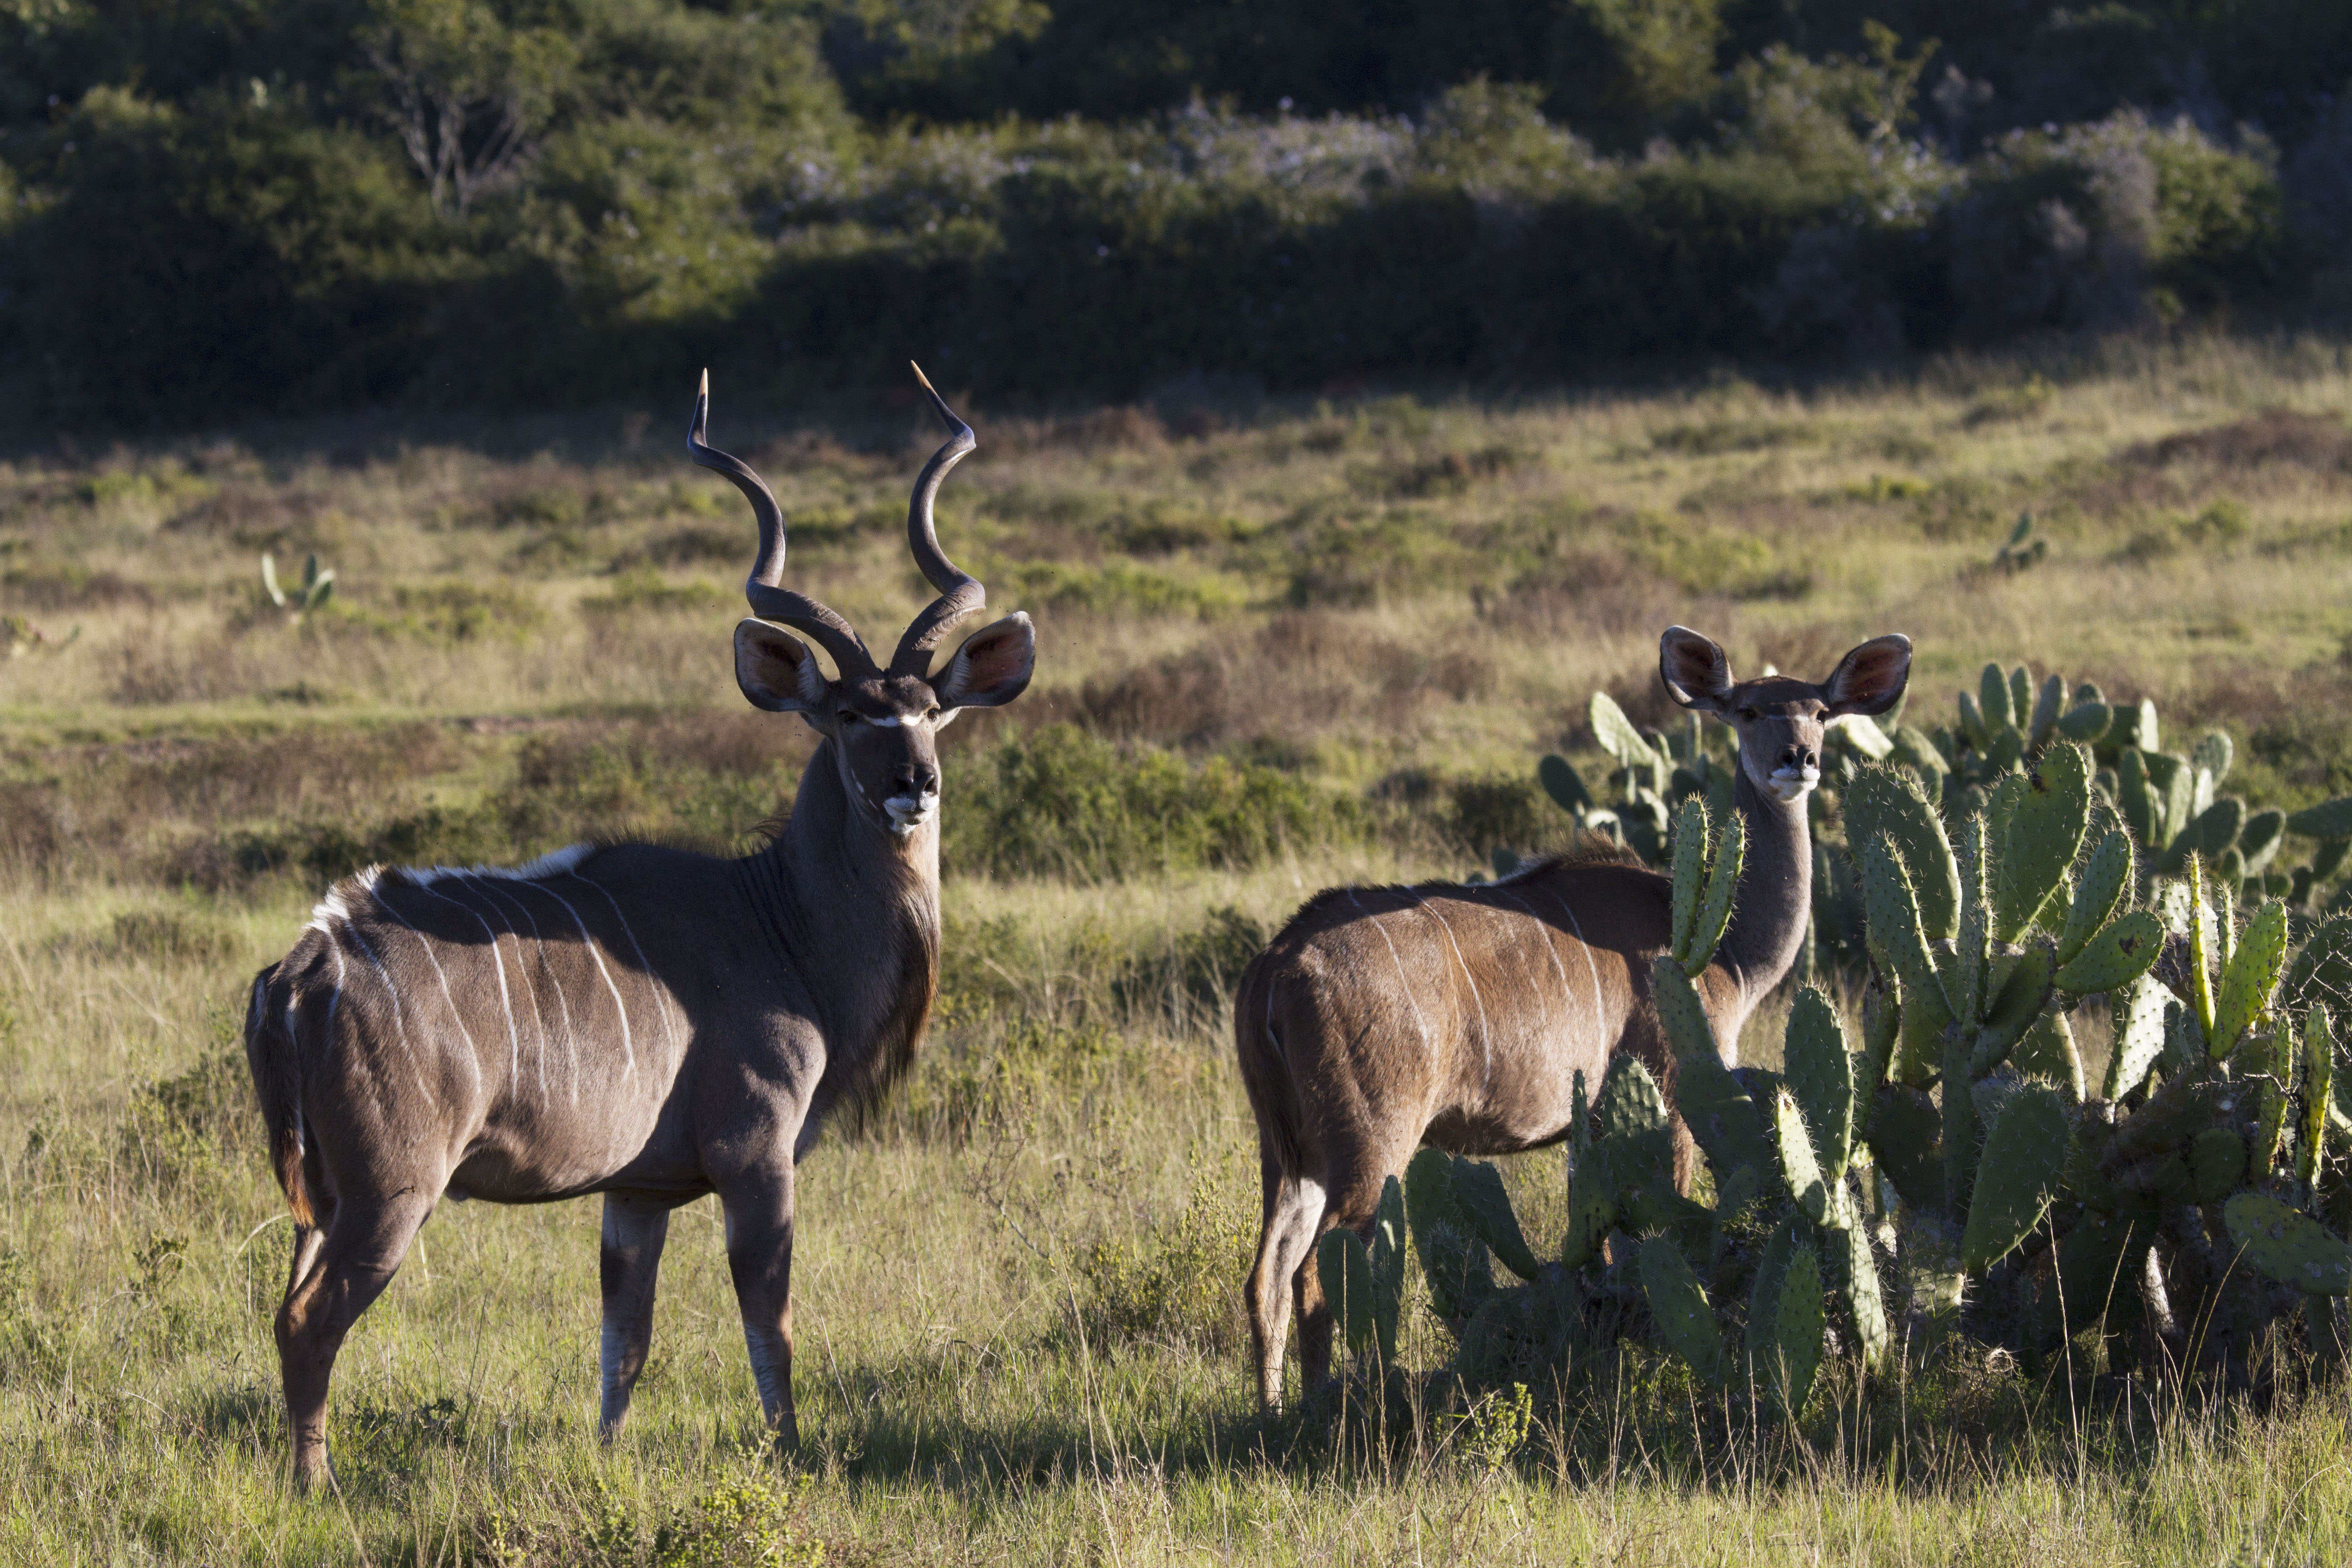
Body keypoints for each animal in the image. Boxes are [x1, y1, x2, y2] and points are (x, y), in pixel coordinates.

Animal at [241, 369, 1039, 1485]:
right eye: (847, 716)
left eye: (934, 711)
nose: (911, 786)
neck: (778, 920)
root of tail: (303, 970)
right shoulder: (758, 1157)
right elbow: (770, 1325)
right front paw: (790, 1456)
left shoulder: (638, 1192)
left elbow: (625, 1338)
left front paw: (610, 1459)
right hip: (391, 1195)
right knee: (310, 1322)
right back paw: (317, 1488)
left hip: (325, 1197)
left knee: (286, 1310)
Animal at [1232, 625, 1910, 1410]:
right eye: (1746, 711)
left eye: (1821, 713)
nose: (1797, 758)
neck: (1725, 948)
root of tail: (1276, 965)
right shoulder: (1670, 1094)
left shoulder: (1596, 1128)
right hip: (1372, 1144)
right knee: (1318, 1270)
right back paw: (1324, 1408)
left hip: (1289, 1154)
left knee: (1267, 1275)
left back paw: (1275, 1411)